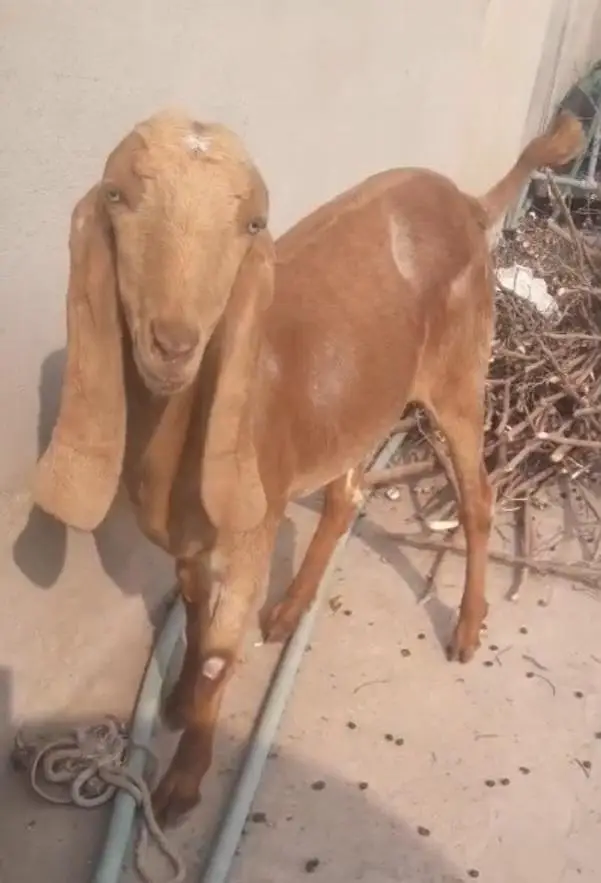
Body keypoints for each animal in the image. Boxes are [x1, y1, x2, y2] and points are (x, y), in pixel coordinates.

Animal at [34, 109, 583, 825]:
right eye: (117, 197)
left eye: (252, 225)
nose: (174, 344)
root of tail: (468, 204)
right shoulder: (192, 543)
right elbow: (194, 614)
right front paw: (176, 705)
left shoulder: (250, 536)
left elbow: (216, 657)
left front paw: (183, 785)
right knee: (347, 494)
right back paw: (291, 610)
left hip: (460, 377)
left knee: (477, 496)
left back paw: (466, 627)